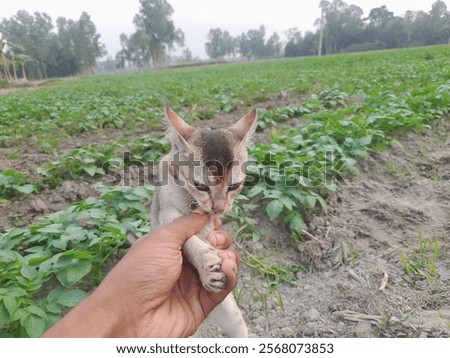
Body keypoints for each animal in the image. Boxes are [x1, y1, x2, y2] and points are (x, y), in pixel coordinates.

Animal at [149, 107, 256, 338]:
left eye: (234, 186)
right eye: (200, 185)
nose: (219, 208)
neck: (190, 201)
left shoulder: (211, 222)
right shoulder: (166, 217)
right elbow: (188, 240)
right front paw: (206, 265)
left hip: (232, 316)